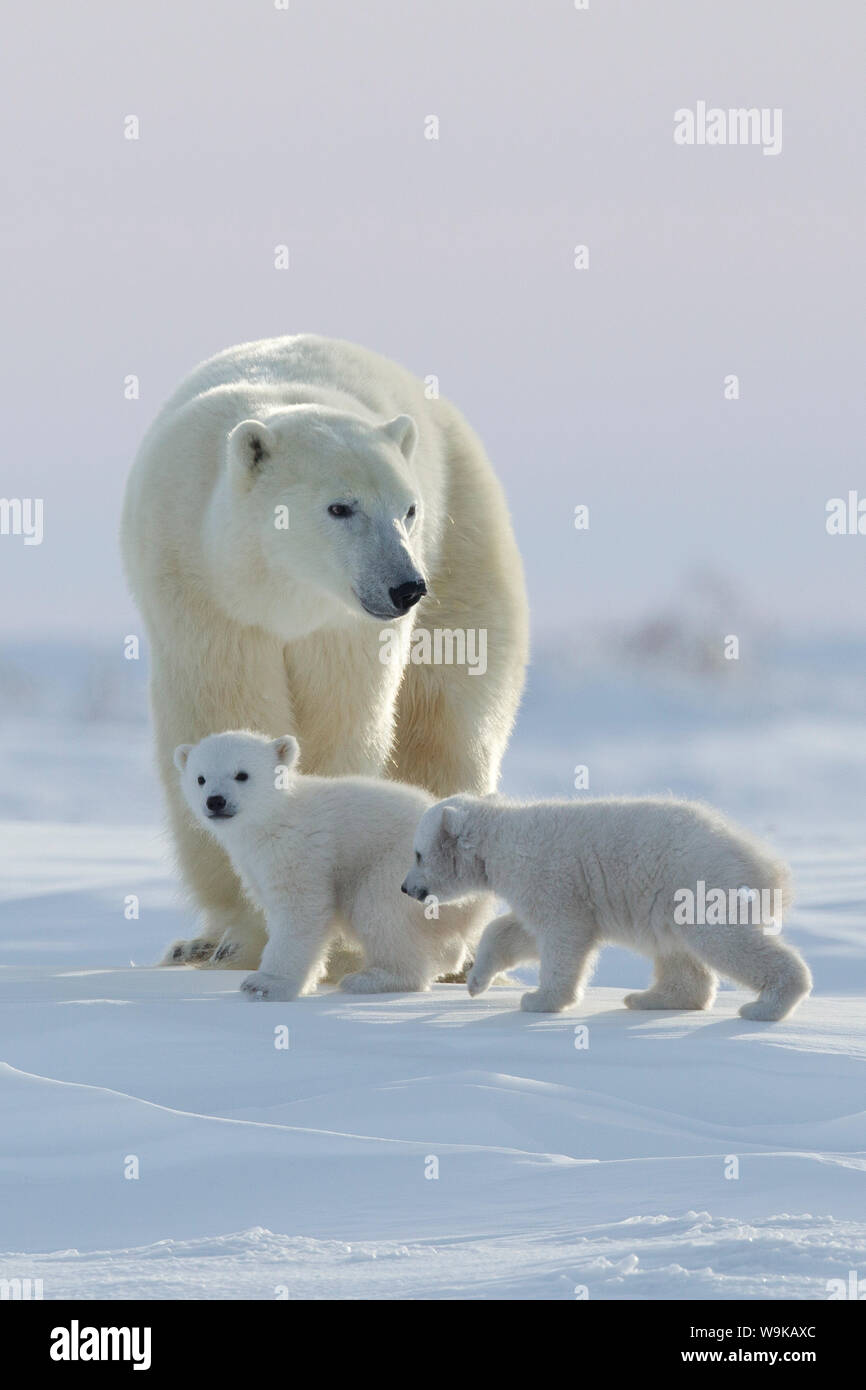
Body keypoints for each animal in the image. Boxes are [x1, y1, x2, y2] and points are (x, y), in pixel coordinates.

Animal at [174, 728, 494, 1000]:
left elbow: (301, 910)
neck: (274, 818)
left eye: (242, 774)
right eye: (200, 778)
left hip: (405, 867)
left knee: (378, 909)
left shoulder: (300, 849)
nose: (216, 801)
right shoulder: (253, 864)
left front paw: (266, 983)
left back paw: (372, 978)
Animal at [403, 795, 817, 1023]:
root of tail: (765, 864)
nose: (406, 888)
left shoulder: (549, 875)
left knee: (725, 941)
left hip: (700, 884)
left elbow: (563, 936)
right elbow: (517, 931)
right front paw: (476, 982)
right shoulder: (540, 887)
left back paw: (766, 1005)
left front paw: (540, 1000)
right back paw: (649, 998)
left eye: (418, 854)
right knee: (678, 953)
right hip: (669, 900)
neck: (500, 839)